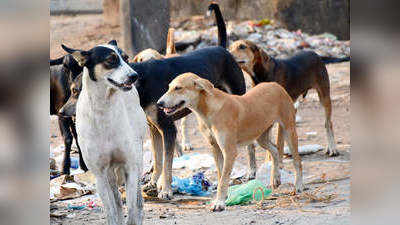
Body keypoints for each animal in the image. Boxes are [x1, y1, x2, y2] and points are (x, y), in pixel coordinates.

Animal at [156, 73, 304, 212]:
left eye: (178, 88)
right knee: (274, 150)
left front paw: (219, 203)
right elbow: (221, 174)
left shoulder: (230, 151)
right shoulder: (215, 148)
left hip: (289, 130)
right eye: (169, 87)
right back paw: (276, 178)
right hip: (261, 137)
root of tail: (275, 85)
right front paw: (223, 197)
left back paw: (298, 185)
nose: (159, 103)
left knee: (297, 161)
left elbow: (223, 180)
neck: (208, 110)